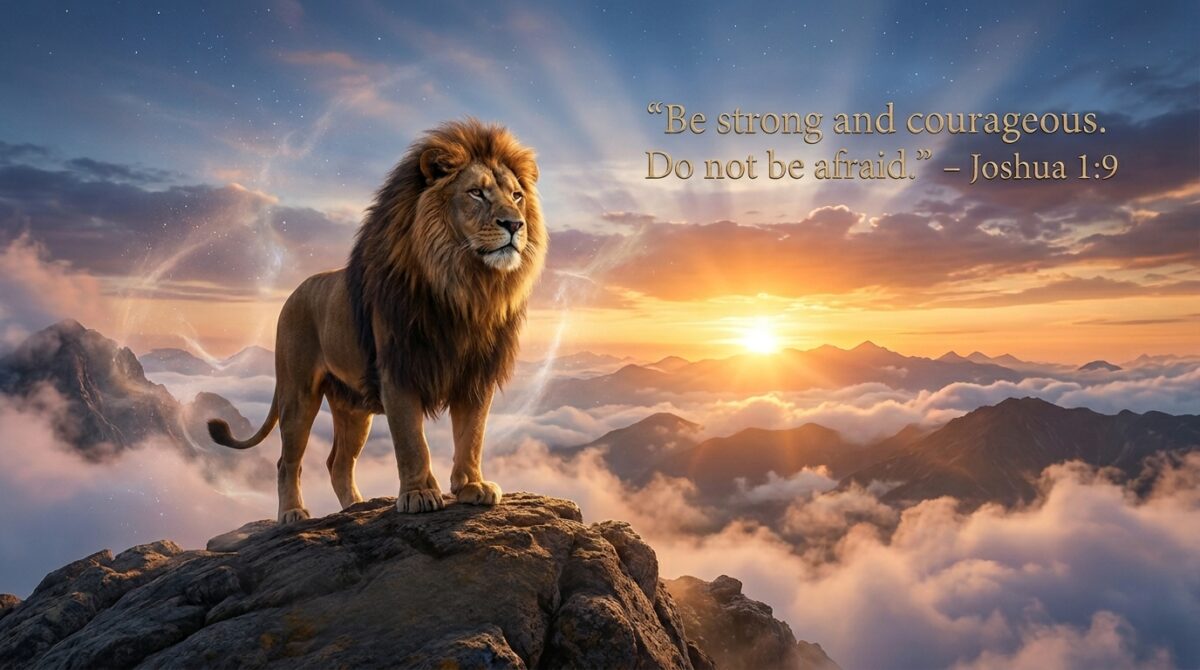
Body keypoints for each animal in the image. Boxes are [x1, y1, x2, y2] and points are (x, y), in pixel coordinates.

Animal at [207, 119, 547, 523]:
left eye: (517, 195)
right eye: (476, 193)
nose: (515, 224)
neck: (463, 288)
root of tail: (294, 292)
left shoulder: (476, 375)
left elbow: (472, 436)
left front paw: (471, 486)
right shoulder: (398, 370)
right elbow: (412, 442)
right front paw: (419, 494)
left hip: (353, 407)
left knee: (338, 463)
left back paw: (358, 506)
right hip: (298, 393)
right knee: (287, 461)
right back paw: (293, 513)